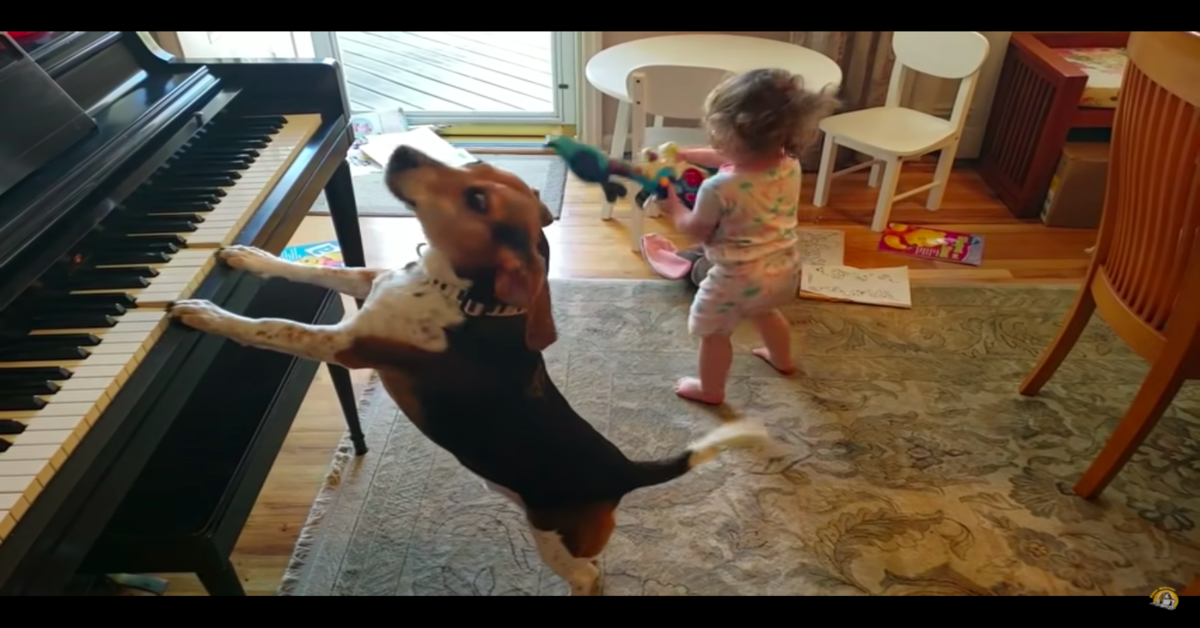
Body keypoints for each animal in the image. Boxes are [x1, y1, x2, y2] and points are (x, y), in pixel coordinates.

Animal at [166, 145, 768, 597]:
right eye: (476, 166)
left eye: (476, 198)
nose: (403, 150)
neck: (456, 291)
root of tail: (623, 470)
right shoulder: (369, 281)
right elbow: (316, 273)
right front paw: (249, 257)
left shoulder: (346, 345)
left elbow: (273, 326)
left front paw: (206, 315)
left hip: (553, 538)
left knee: (588, 577)